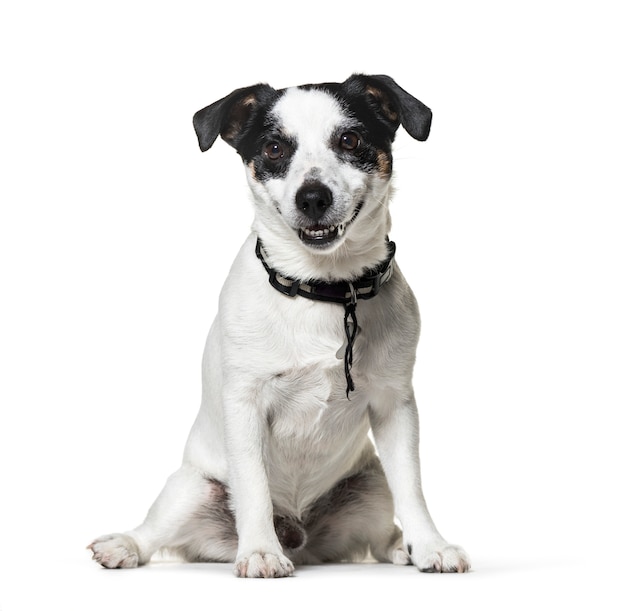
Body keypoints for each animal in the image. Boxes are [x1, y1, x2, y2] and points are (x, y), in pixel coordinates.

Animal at [88, 74, 468, 576]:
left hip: (370, 486)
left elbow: (413, 486)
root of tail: (300, 537)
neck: (323, 287)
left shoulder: (394, 405)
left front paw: (430, 545)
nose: (312, 197)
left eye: (350, 140)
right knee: (154, 532)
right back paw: (125, 546)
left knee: (383, 532)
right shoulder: (245, 404)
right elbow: (253, 487)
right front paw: (260, 551)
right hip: (192, 488)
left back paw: (402, 548)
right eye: (273, 148)